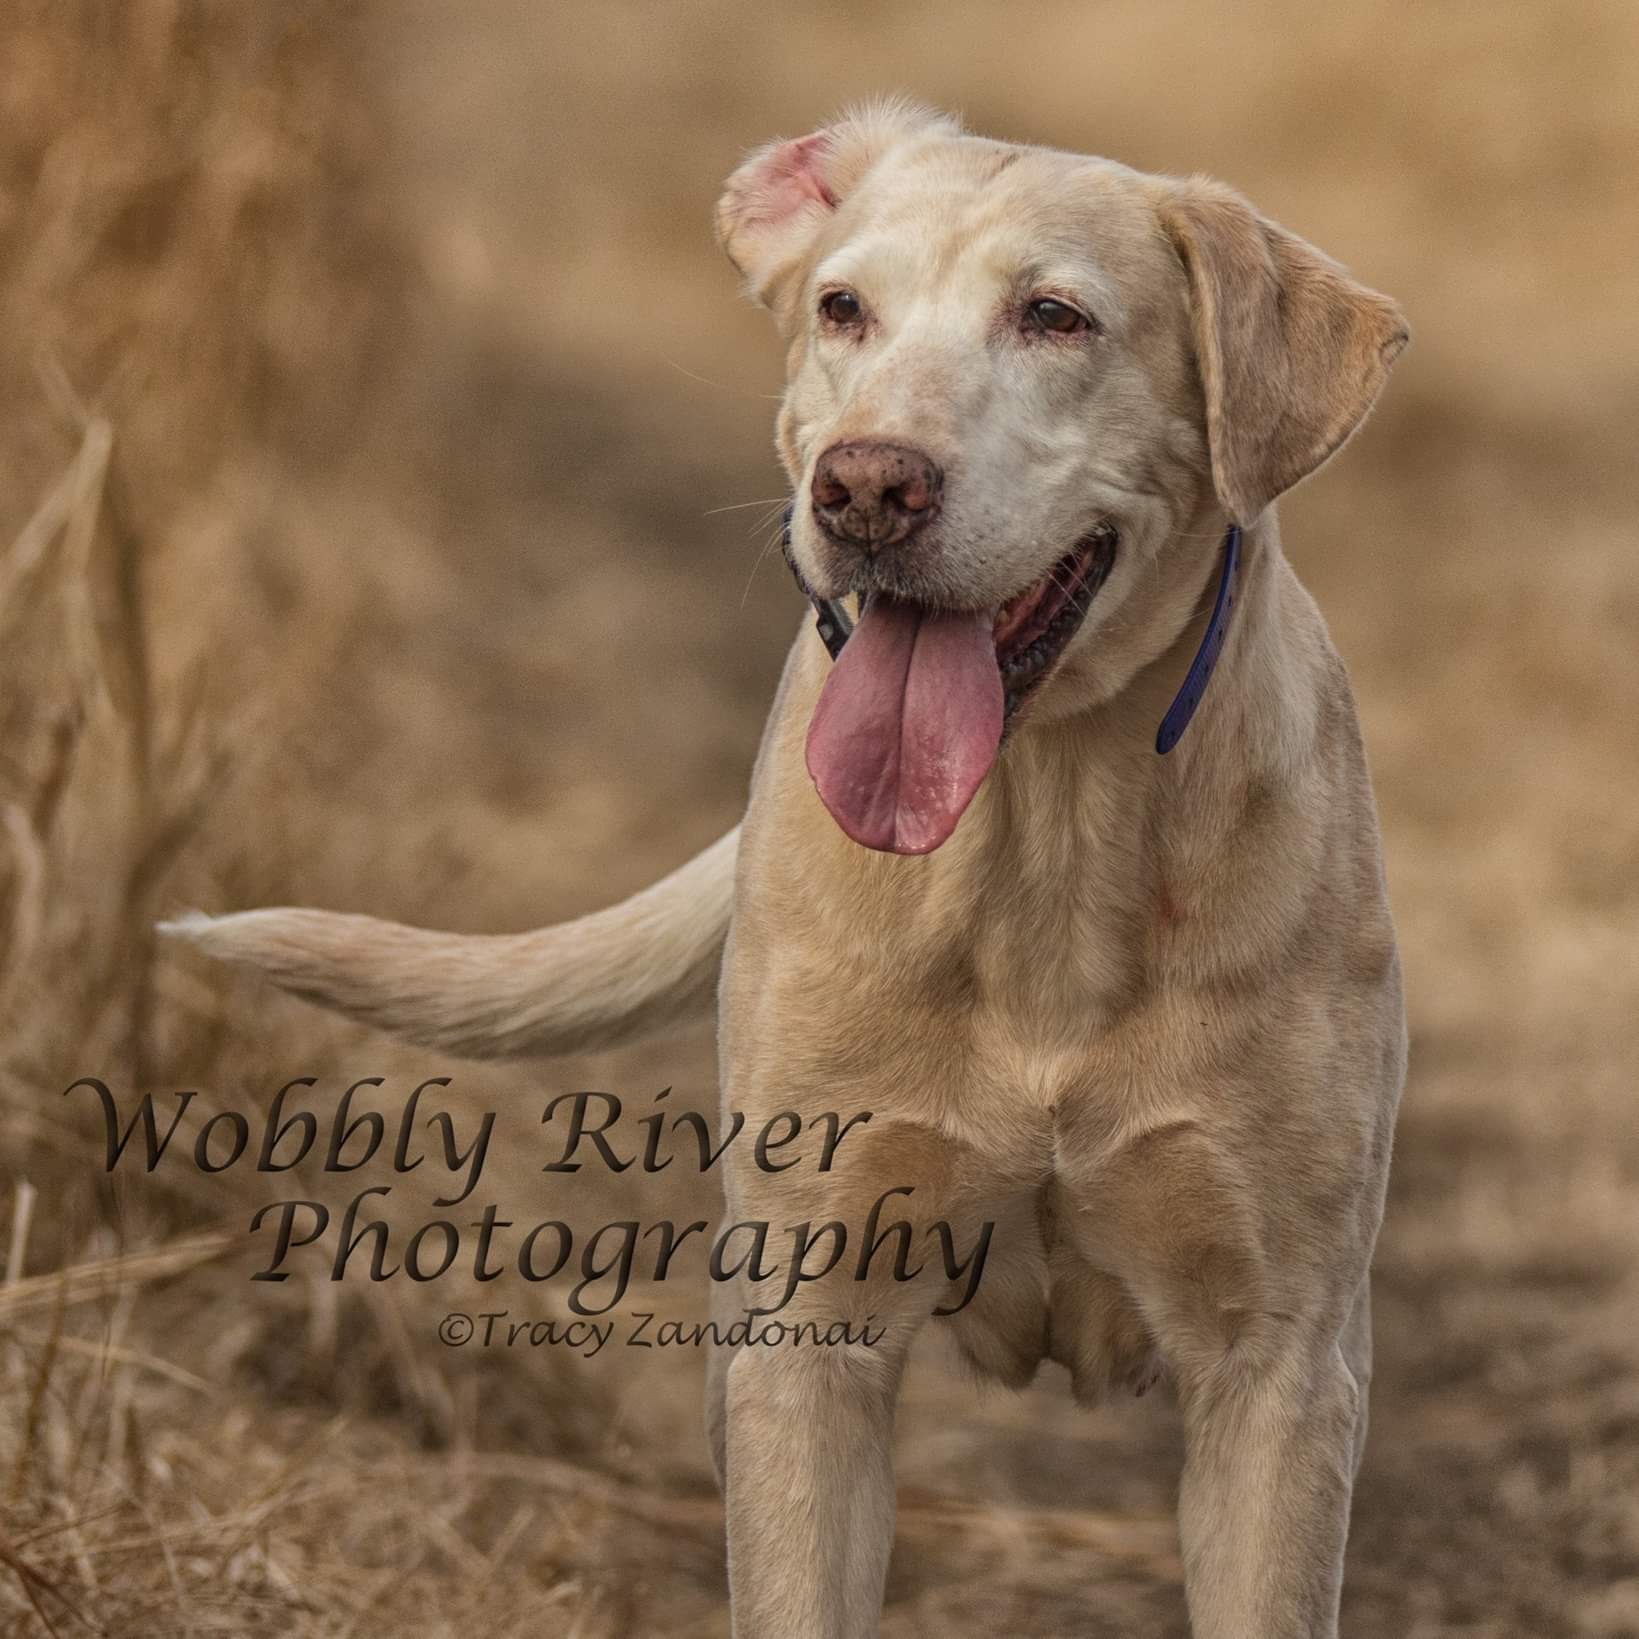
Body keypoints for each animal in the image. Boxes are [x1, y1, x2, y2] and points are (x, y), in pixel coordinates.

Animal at [166, 105, 1409, 1639]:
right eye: (842, 309)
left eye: (1054, 317)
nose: (867, 483)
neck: (1049, 835)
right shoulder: (802, 1335)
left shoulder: (1278, 1367)